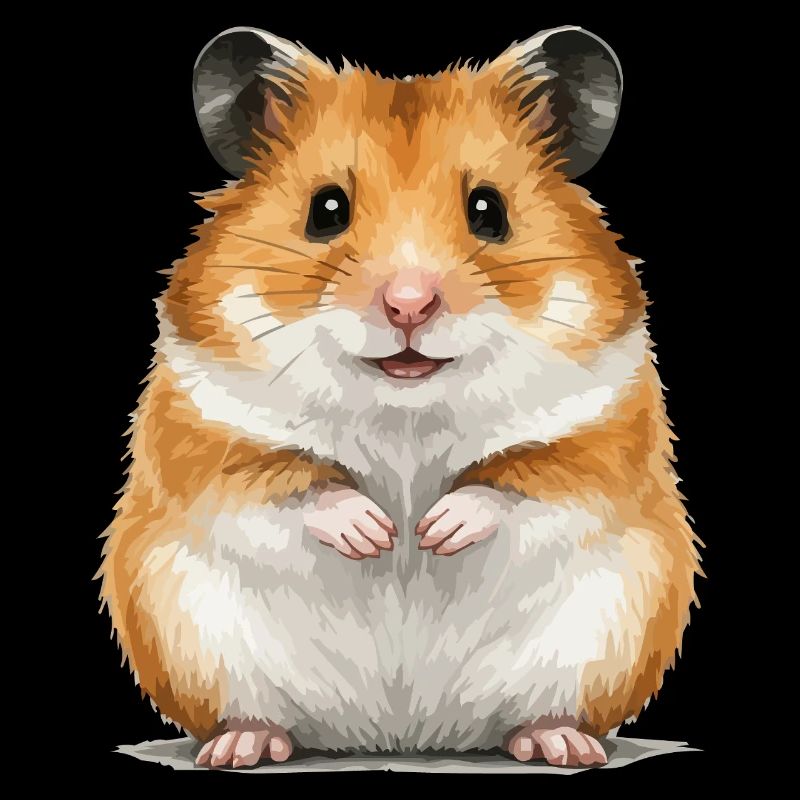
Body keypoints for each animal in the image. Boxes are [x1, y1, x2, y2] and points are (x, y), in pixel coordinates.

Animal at [98, 25, 701, 769]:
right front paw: (378, 534)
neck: (405, 408)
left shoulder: (601, 431)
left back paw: (561, 744)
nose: (408, 305)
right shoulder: (206, 427)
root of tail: (402, 735)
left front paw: (432, 531)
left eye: (489, 210)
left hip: (607, 634)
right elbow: (285, 481)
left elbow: (524, 480)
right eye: (326, 209)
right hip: (191, 637)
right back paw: (240, 747)